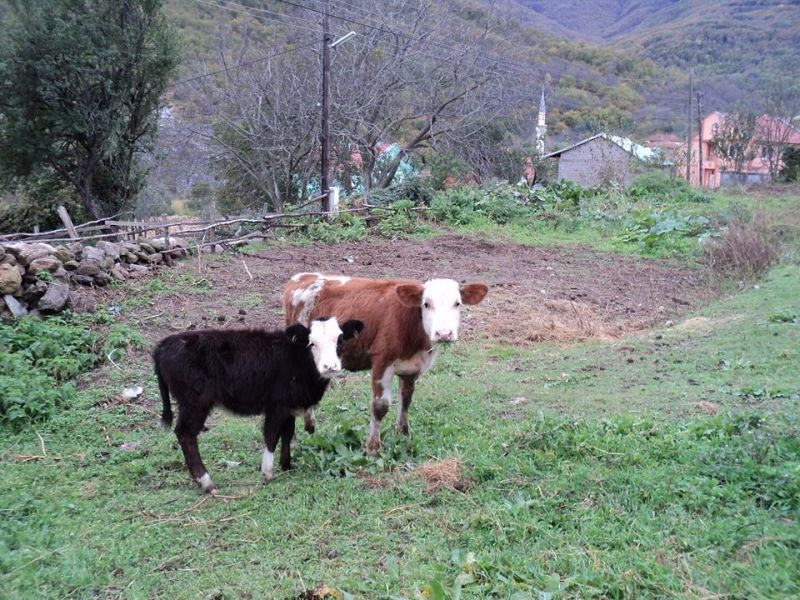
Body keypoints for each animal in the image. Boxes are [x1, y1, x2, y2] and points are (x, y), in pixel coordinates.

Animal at [152, 316, 362, 494]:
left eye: (340, 341)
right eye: (312, 343)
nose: (330, 366)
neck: (297, 360)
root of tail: (164, 344)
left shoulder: (289, 407)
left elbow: (287, 434)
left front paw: (287, 465)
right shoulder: (276, 406)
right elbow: (271, 435)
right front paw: (268, 472)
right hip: (195, 403)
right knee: (186, 435)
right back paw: (206, 482)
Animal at [284, 274, 490, 452]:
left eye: (457, 303)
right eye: (426, 304)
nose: (444, 333)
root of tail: (303, 277)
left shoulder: (411, 368)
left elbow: (406, 399)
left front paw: (403, 434)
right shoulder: (381, 362)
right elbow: (380, 406)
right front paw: (373, 447)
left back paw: (310, 425)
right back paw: (292, 439)